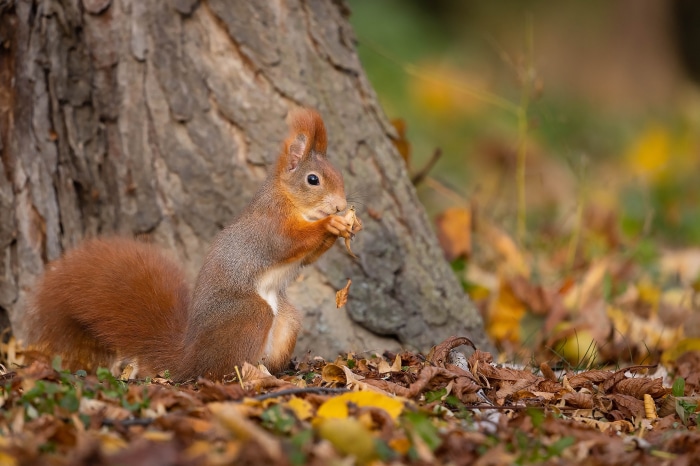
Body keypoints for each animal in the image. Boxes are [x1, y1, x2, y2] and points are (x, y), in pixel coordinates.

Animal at [24, 108, 361, 382]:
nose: (340, 205)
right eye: (313, 180)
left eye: (340, 175)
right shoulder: (269, 228)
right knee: (222, 369)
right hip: (251, 314)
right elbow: (288, 243)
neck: (290, 202)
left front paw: (342, 226)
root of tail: (189, 357)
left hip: (287, 321)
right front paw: (330, 224)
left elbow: (307, 258)